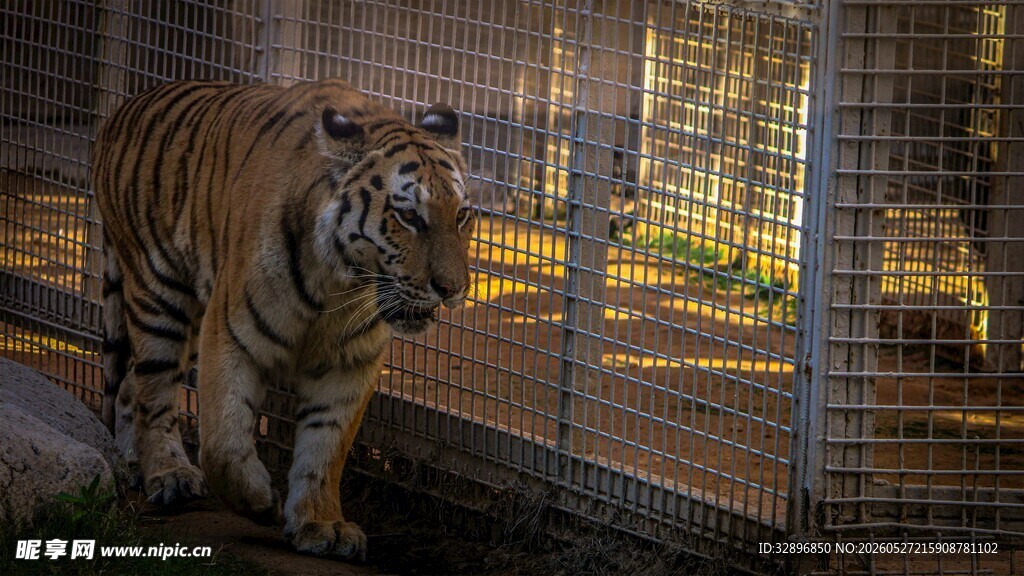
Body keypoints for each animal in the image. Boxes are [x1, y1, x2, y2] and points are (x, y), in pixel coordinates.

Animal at [91, 78, 474, 560]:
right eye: (408, 216)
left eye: (461, 215)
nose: (454, 289)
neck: (340, 283)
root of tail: (123, 108)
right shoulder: (230, 332)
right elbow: (222, 443)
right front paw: (260, 500)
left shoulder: (350, 363)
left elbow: (325, 447)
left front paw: (321, 524)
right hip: (160, 295)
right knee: (153, 391)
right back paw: (168, 474)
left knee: (130, 385)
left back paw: (134, 462)